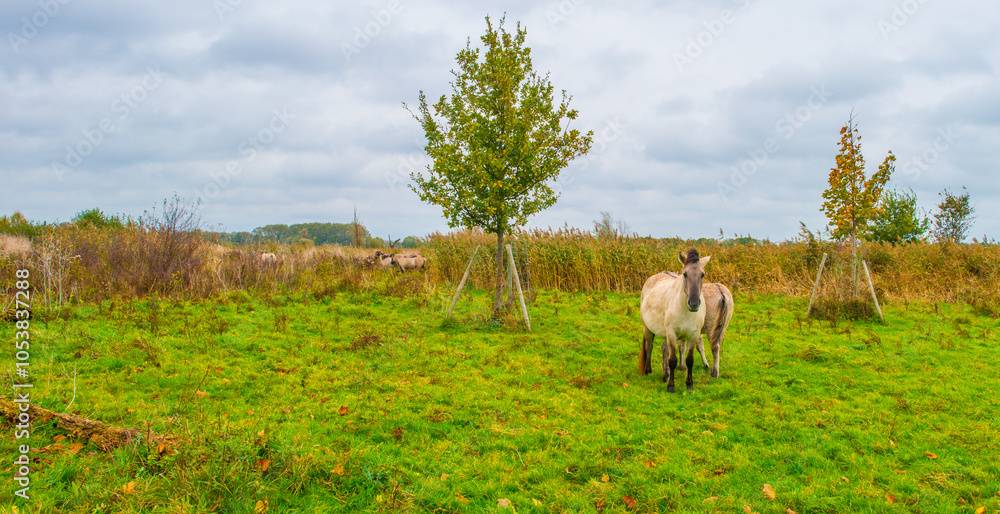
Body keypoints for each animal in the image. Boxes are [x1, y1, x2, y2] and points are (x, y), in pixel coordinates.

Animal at [638, 249, 712, 392]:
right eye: (685, 274)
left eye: (703, 275)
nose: (694, 303)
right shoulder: (672, 334)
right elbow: (672, 360)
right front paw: (671, 386)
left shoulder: (693, 335)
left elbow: (689, 360)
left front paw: (689, 384)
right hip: (647, 328)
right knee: (649, 347)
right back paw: (648, 370)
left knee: (664, 349)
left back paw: (665, 375)